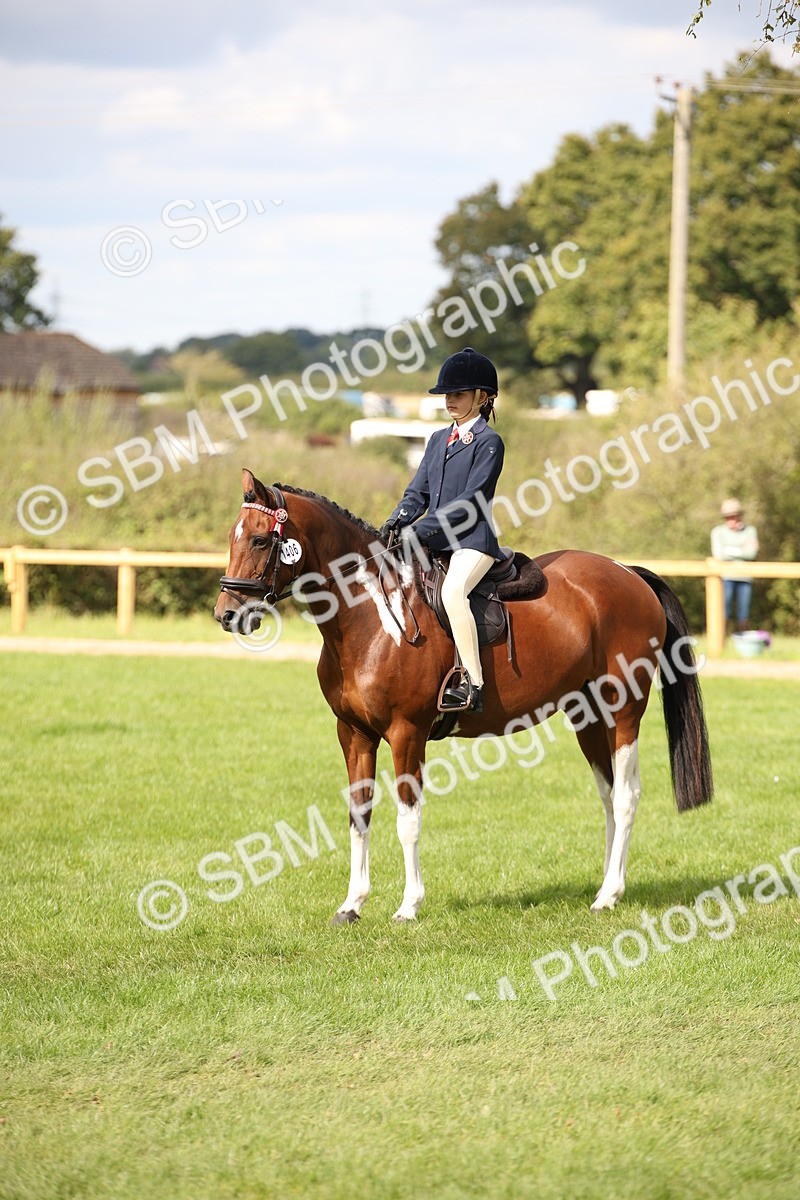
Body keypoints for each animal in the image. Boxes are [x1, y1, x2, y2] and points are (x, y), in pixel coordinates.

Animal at [214, 469, 713, 924]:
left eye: (260, 540)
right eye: (233, 537)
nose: (226, 615)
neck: (372, 614)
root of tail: (629, 573)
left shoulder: (406, 733)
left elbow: (408, 819)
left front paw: (409, 906)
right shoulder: (353, 733)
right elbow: (360, 814)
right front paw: (352, 905)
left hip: (622, 708)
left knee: (626, 796)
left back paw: (608, 895)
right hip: (587, 715)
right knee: (608, 795)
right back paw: (608, 887)